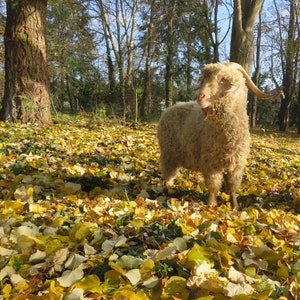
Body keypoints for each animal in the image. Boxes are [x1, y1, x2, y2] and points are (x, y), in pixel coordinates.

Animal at [158, 62, 280, 209]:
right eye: (204, 79)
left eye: (223, 79)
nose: (200, 97)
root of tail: (169, 108)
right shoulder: (210, 164)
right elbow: (213, 187)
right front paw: (211, 206)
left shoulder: (236, 166)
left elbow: (232, 188)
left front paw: (235, 207)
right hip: (168, 153)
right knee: (168, 176)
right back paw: (166, 193)